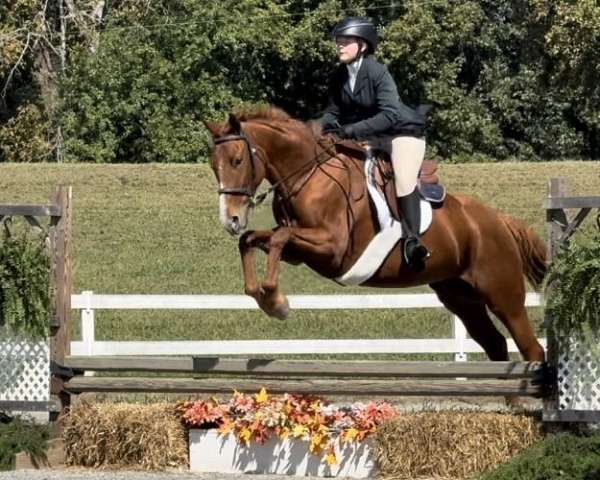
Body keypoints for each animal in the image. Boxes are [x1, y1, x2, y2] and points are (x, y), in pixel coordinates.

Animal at [203, 106, 548, 364]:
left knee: (530, 347)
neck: (309, 174)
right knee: (495, 344)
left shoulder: (332, 249)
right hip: (460, 296)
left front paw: (276, 302)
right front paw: (263, 296)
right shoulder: (299, 251)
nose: (230, 219)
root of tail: (499, 220)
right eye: (213, 166)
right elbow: (253, 240)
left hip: (502, 294)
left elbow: (277, 238)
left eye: (237, 160)